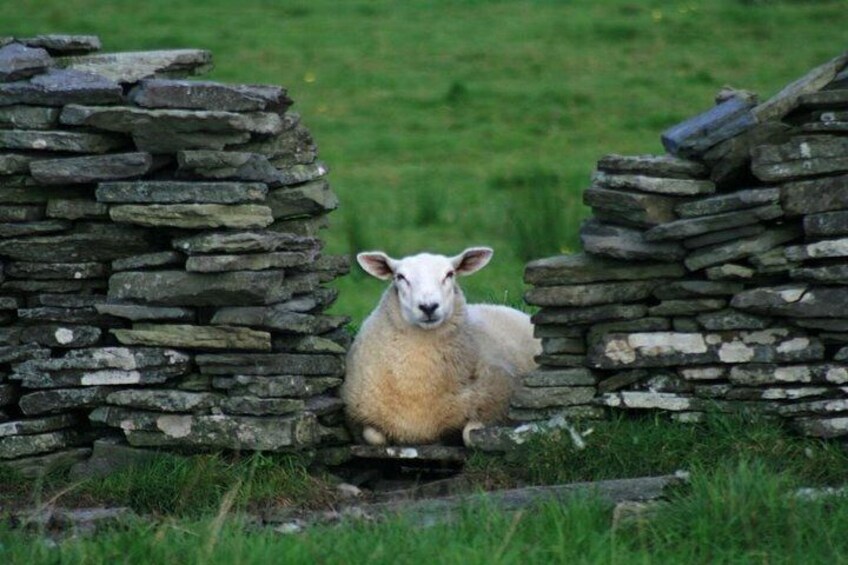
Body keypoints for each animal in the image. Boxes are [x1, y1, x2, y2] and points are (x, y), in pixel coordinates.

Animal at [340, 247, 541, 446]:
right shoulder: (361, 416)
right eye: (400, 277)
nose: (428, 306)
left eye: (450, 274)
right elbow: (374, 437)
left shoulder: (497, 404)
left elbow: (469, 436)